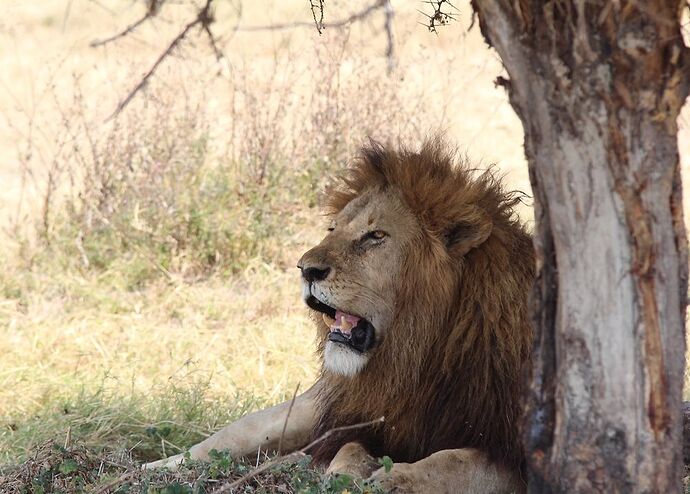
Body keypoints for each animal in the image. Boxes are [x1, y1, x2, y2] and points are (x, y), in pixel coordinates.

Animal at [144, 139, 532, 494]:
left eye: (376, 235)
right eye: (333, 229)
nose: (305, 270)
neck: (418, 358)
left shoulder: (515, 448)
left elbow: (455, 462)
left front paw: (396, 479)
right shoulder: (364, 413)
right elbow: (348, 444)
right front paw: (342, 473)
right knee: (226, 438)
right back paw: (157, 467)